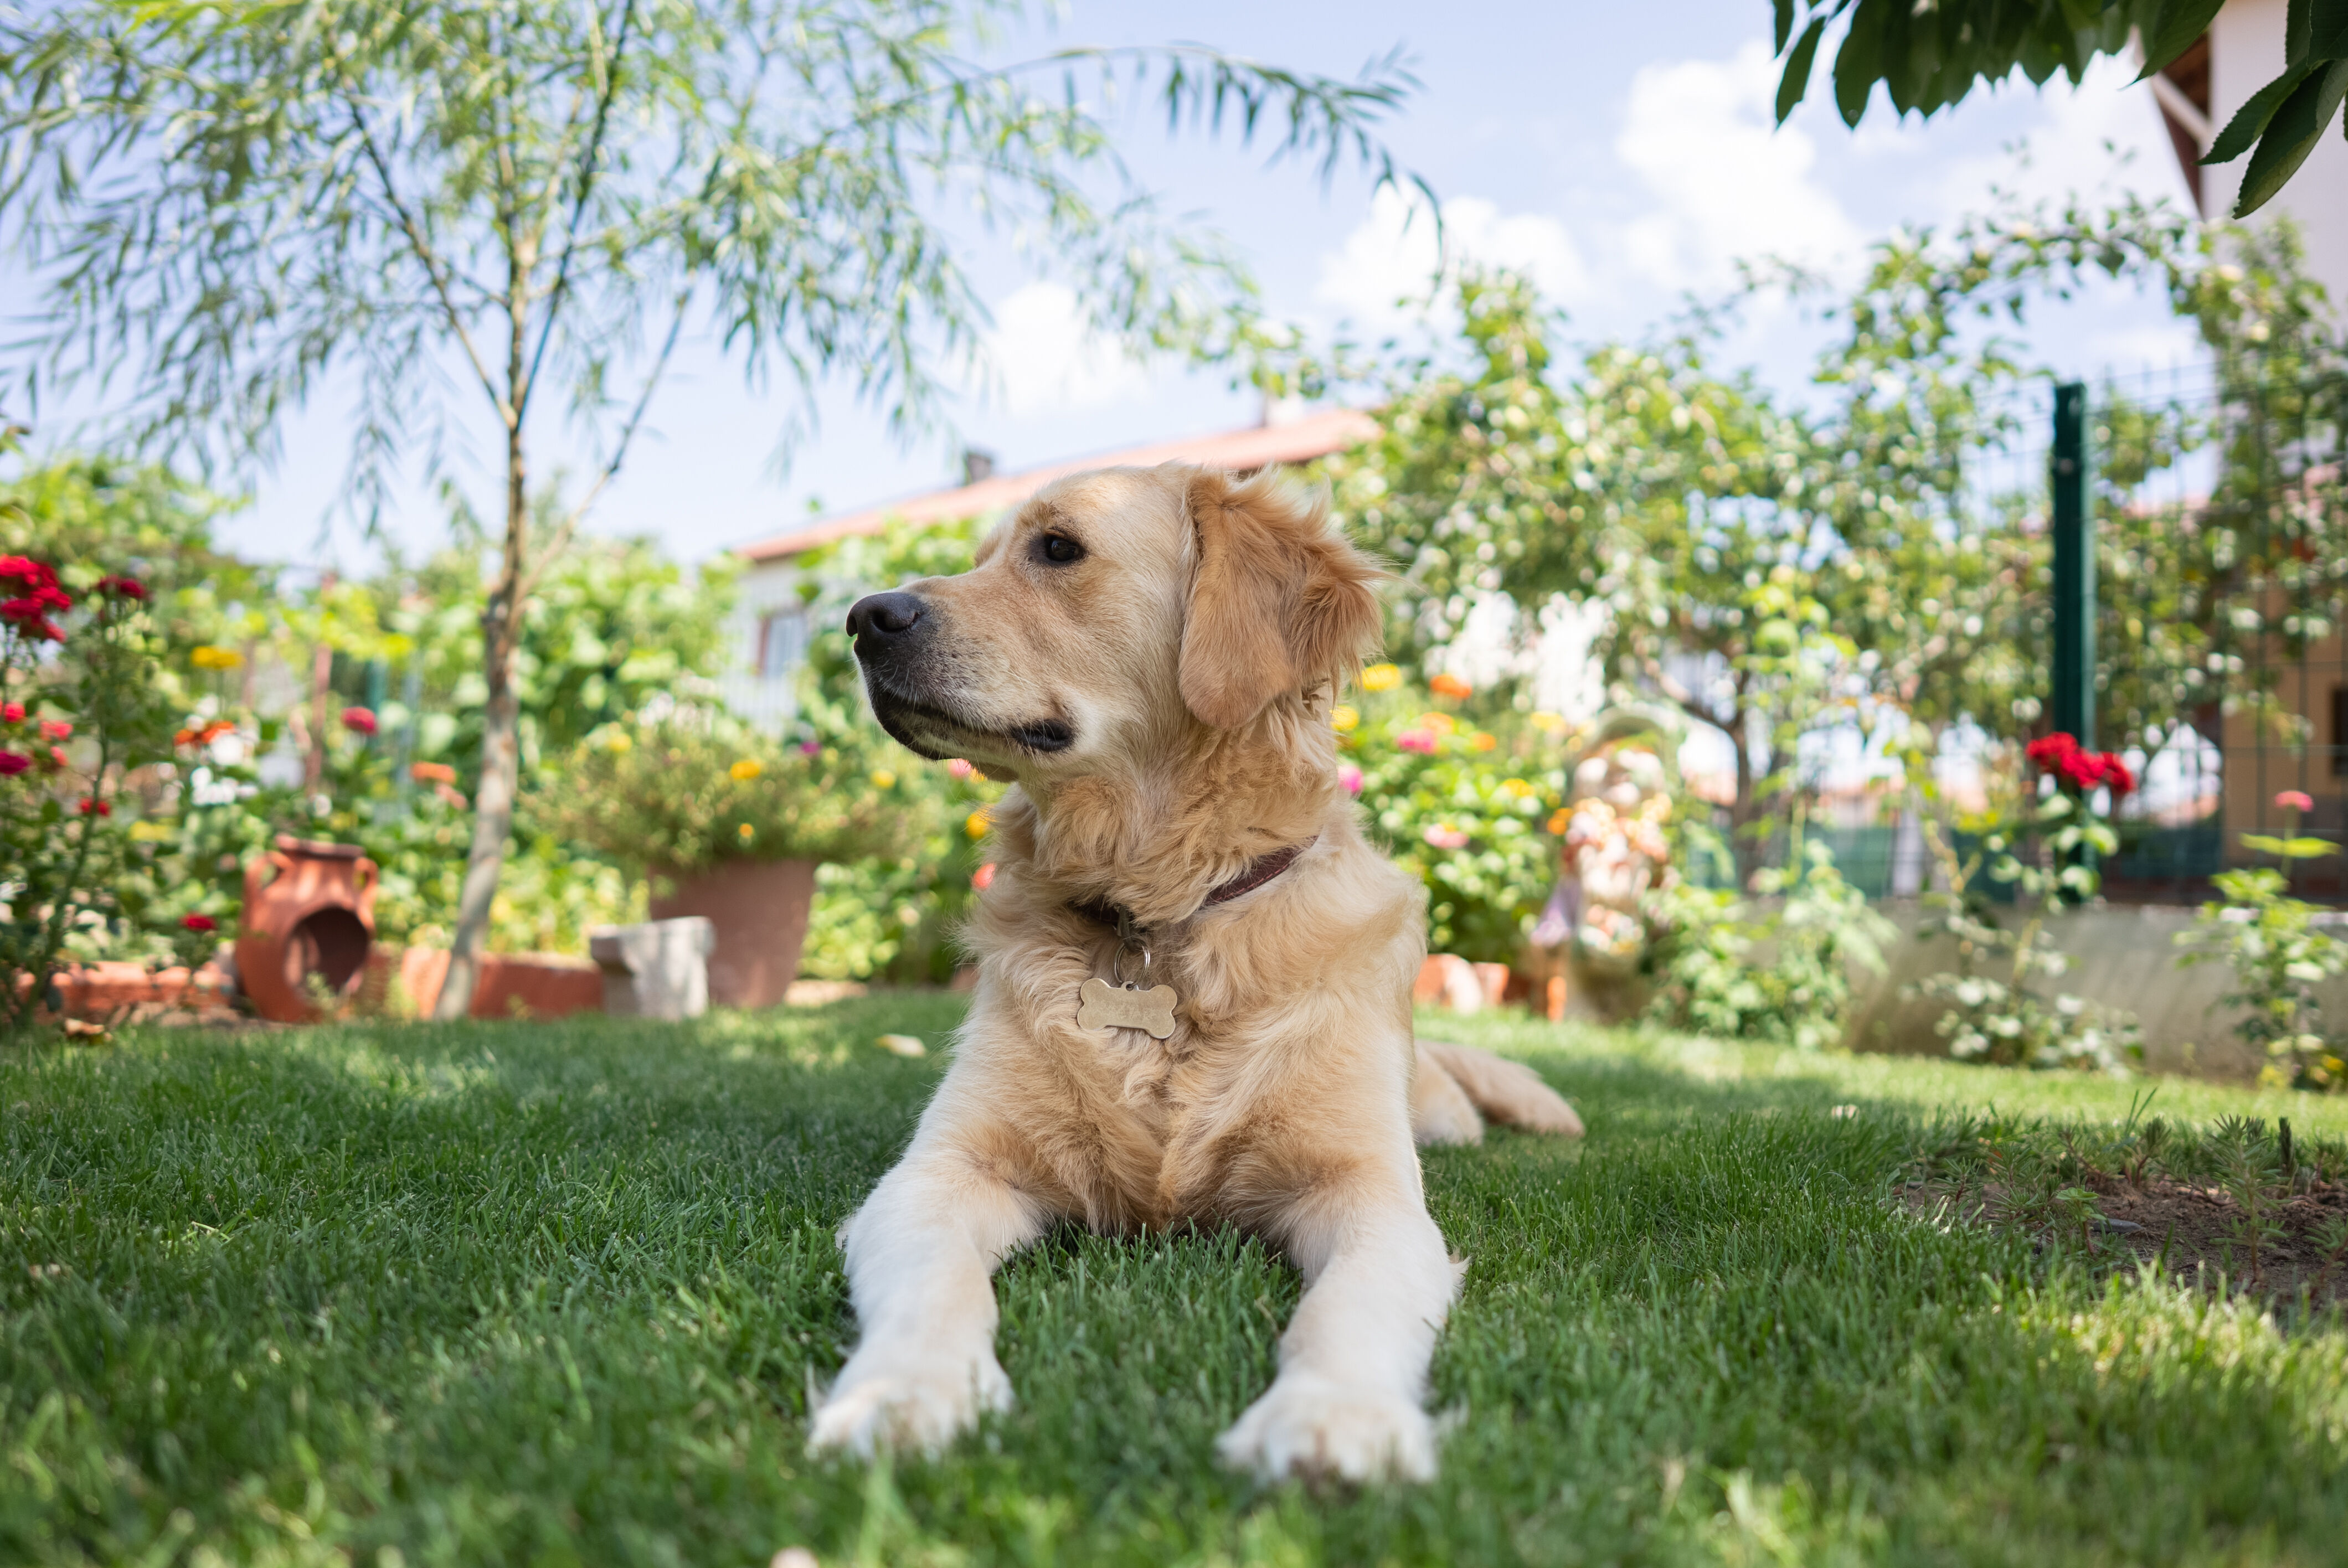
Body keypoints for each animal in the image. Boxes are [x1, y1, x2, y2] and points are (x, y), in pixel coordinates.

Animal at [807, 462, 1578, 1483]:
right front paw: (902, 1392)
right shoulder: (940, 1170)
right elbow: (938, 1283)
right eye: (980, 557)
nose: (865, 617)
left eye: (1057, 549)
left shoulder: (1369, 1192)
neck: (1165, 917)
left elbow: (1349, 1305)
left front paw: (1335, 1417)